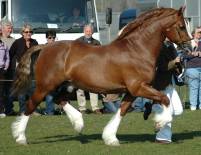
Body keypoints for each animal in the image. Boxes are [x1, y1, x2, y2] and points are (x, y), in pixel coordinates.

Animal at [11, 6, 192, 146]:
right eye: (181, 26)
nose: (189, 47)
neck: (137, 50)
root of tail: (45, 47)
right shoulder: (138, 87)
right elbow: (164, 99)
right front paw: (159, 123)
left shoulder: (132, 91)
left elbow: (122, 110)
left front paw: (110, 138)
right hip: (45, 86)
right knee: (31, 105)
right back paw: (21, 137)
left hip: (67, 85)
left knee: (58, 99)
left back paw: (78, 123)